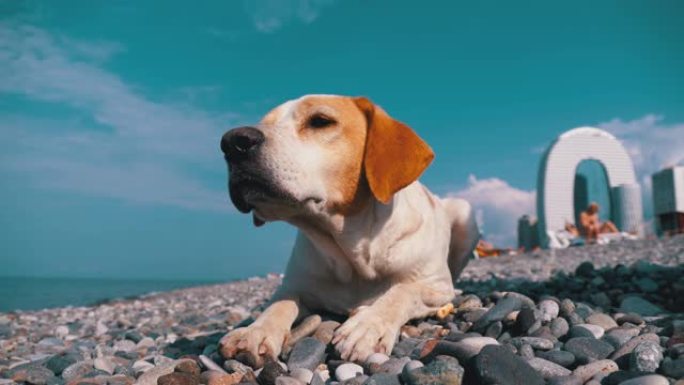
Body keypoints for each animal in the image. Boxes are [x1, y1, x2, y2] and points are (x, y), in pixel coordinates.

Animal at [216, 94, 478, 364]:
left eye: (320, 121)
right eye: (263, 122)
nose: (233, 142)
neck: (354, 254)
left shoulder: (436, 285)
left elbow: (402, 291)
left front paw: (368, 326)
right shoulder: (293, 286)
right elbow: (278, 304)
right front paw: (255, 331)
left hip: (464, 214)